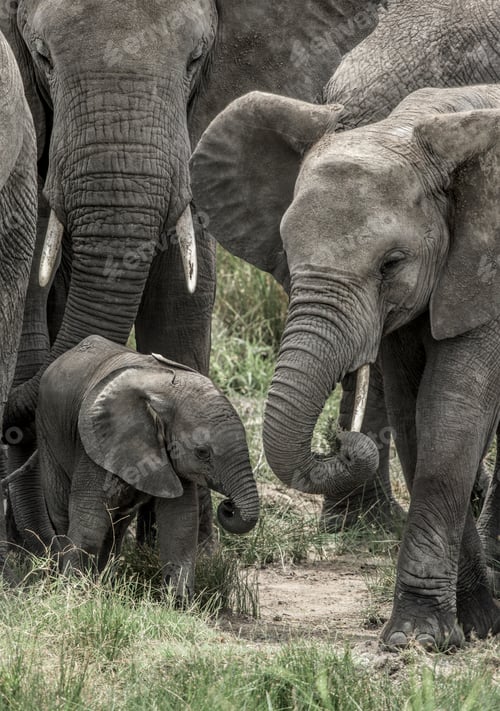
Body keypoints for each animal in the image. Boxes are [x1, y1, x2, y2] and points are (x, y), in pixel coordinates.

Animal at [10, 335, 259, 597]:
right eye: (202, 452)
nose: (229, 506)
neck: (163, 392)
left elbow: (180, 524)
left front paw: (179, 602)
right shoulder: (97, 443)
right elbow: (89, 520)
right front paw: (73, 592)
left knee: (117, 525)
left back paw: (104, 581)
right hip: (48, 432)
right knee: (65, 512)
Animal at [190, 84, 500, 649]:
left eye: (391, 264)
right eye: (287, 251)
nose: (340, 439)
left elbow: (452, 411)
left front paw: (416, 639)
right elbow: (414, 417)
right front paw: (468, 626)